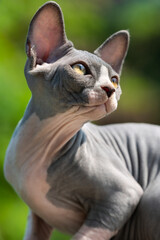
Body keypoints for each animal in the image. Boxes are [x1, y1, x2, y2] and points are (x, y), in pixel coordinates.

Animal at [3, 1, 160, 240]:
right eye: (80, 68)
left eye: (114, 80)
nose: (110, 89)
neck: (40, 144)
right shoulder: (37, 214)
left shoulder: (124, 193)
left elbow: (84, 236)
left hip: (150, 198)